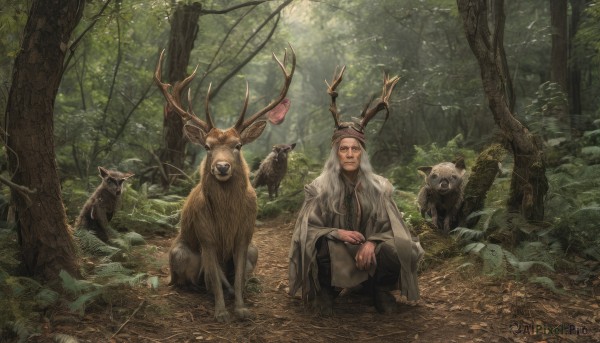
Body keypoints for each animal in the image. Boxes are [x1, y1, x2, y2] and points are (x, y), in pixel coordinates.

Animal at [155, 45, 296, 322]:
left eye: (238, 145)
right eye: (207, 146)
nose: (222, 167)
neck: (226, 218)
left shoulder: (246, 233)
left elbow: (239, 275)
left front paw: (241, 308)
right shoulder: (205, 235)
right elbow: (214, 276)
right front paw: (221, 311)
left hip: (254, 249)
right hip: (180, 254)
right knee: (188, 277)